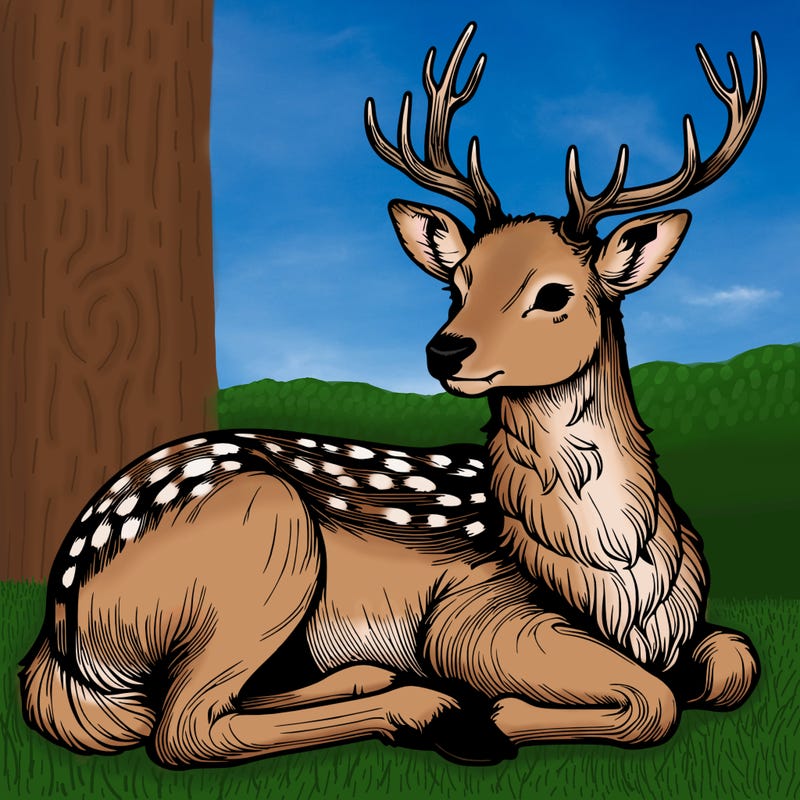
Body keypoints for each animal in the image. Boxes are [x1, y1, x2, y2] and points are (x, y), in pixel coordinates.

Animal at [21, 22, 765, 768]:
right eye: (458, 283)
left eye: (554, 293)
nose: (445, 349)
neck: (620, 578)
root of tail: (58, 635)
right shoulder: (476, 612)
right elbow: (653, 699)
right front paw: (494, 715)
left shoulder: (695, 629)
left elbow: (735, 661)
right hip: (265, 540)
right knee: (183, 726)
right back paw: (434, 710)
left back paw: (378, 678)